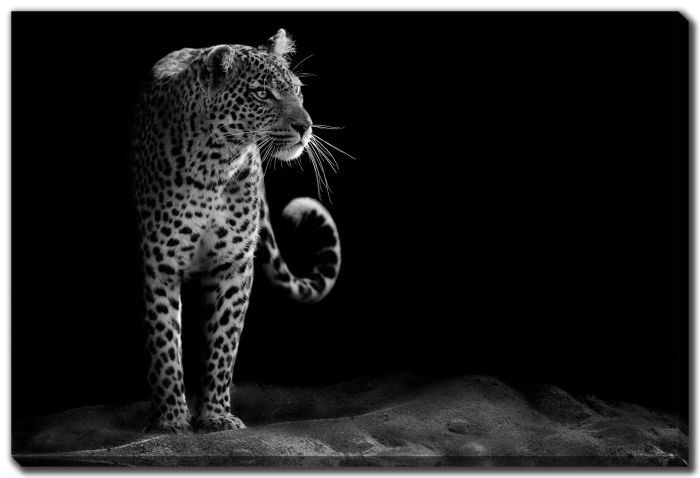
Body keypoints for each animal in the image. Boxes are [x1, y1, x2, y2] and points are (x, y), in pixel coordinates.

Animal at [131, 29, 341, 433]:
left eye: (297, 90)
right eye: (262, 93)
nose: (305, 127)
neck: (215, 164)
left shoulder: (234, 265)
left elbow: (223, 342)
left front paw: (215, 415)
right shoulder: (160, 264)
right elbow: (164, 343)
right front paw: (170, 420)